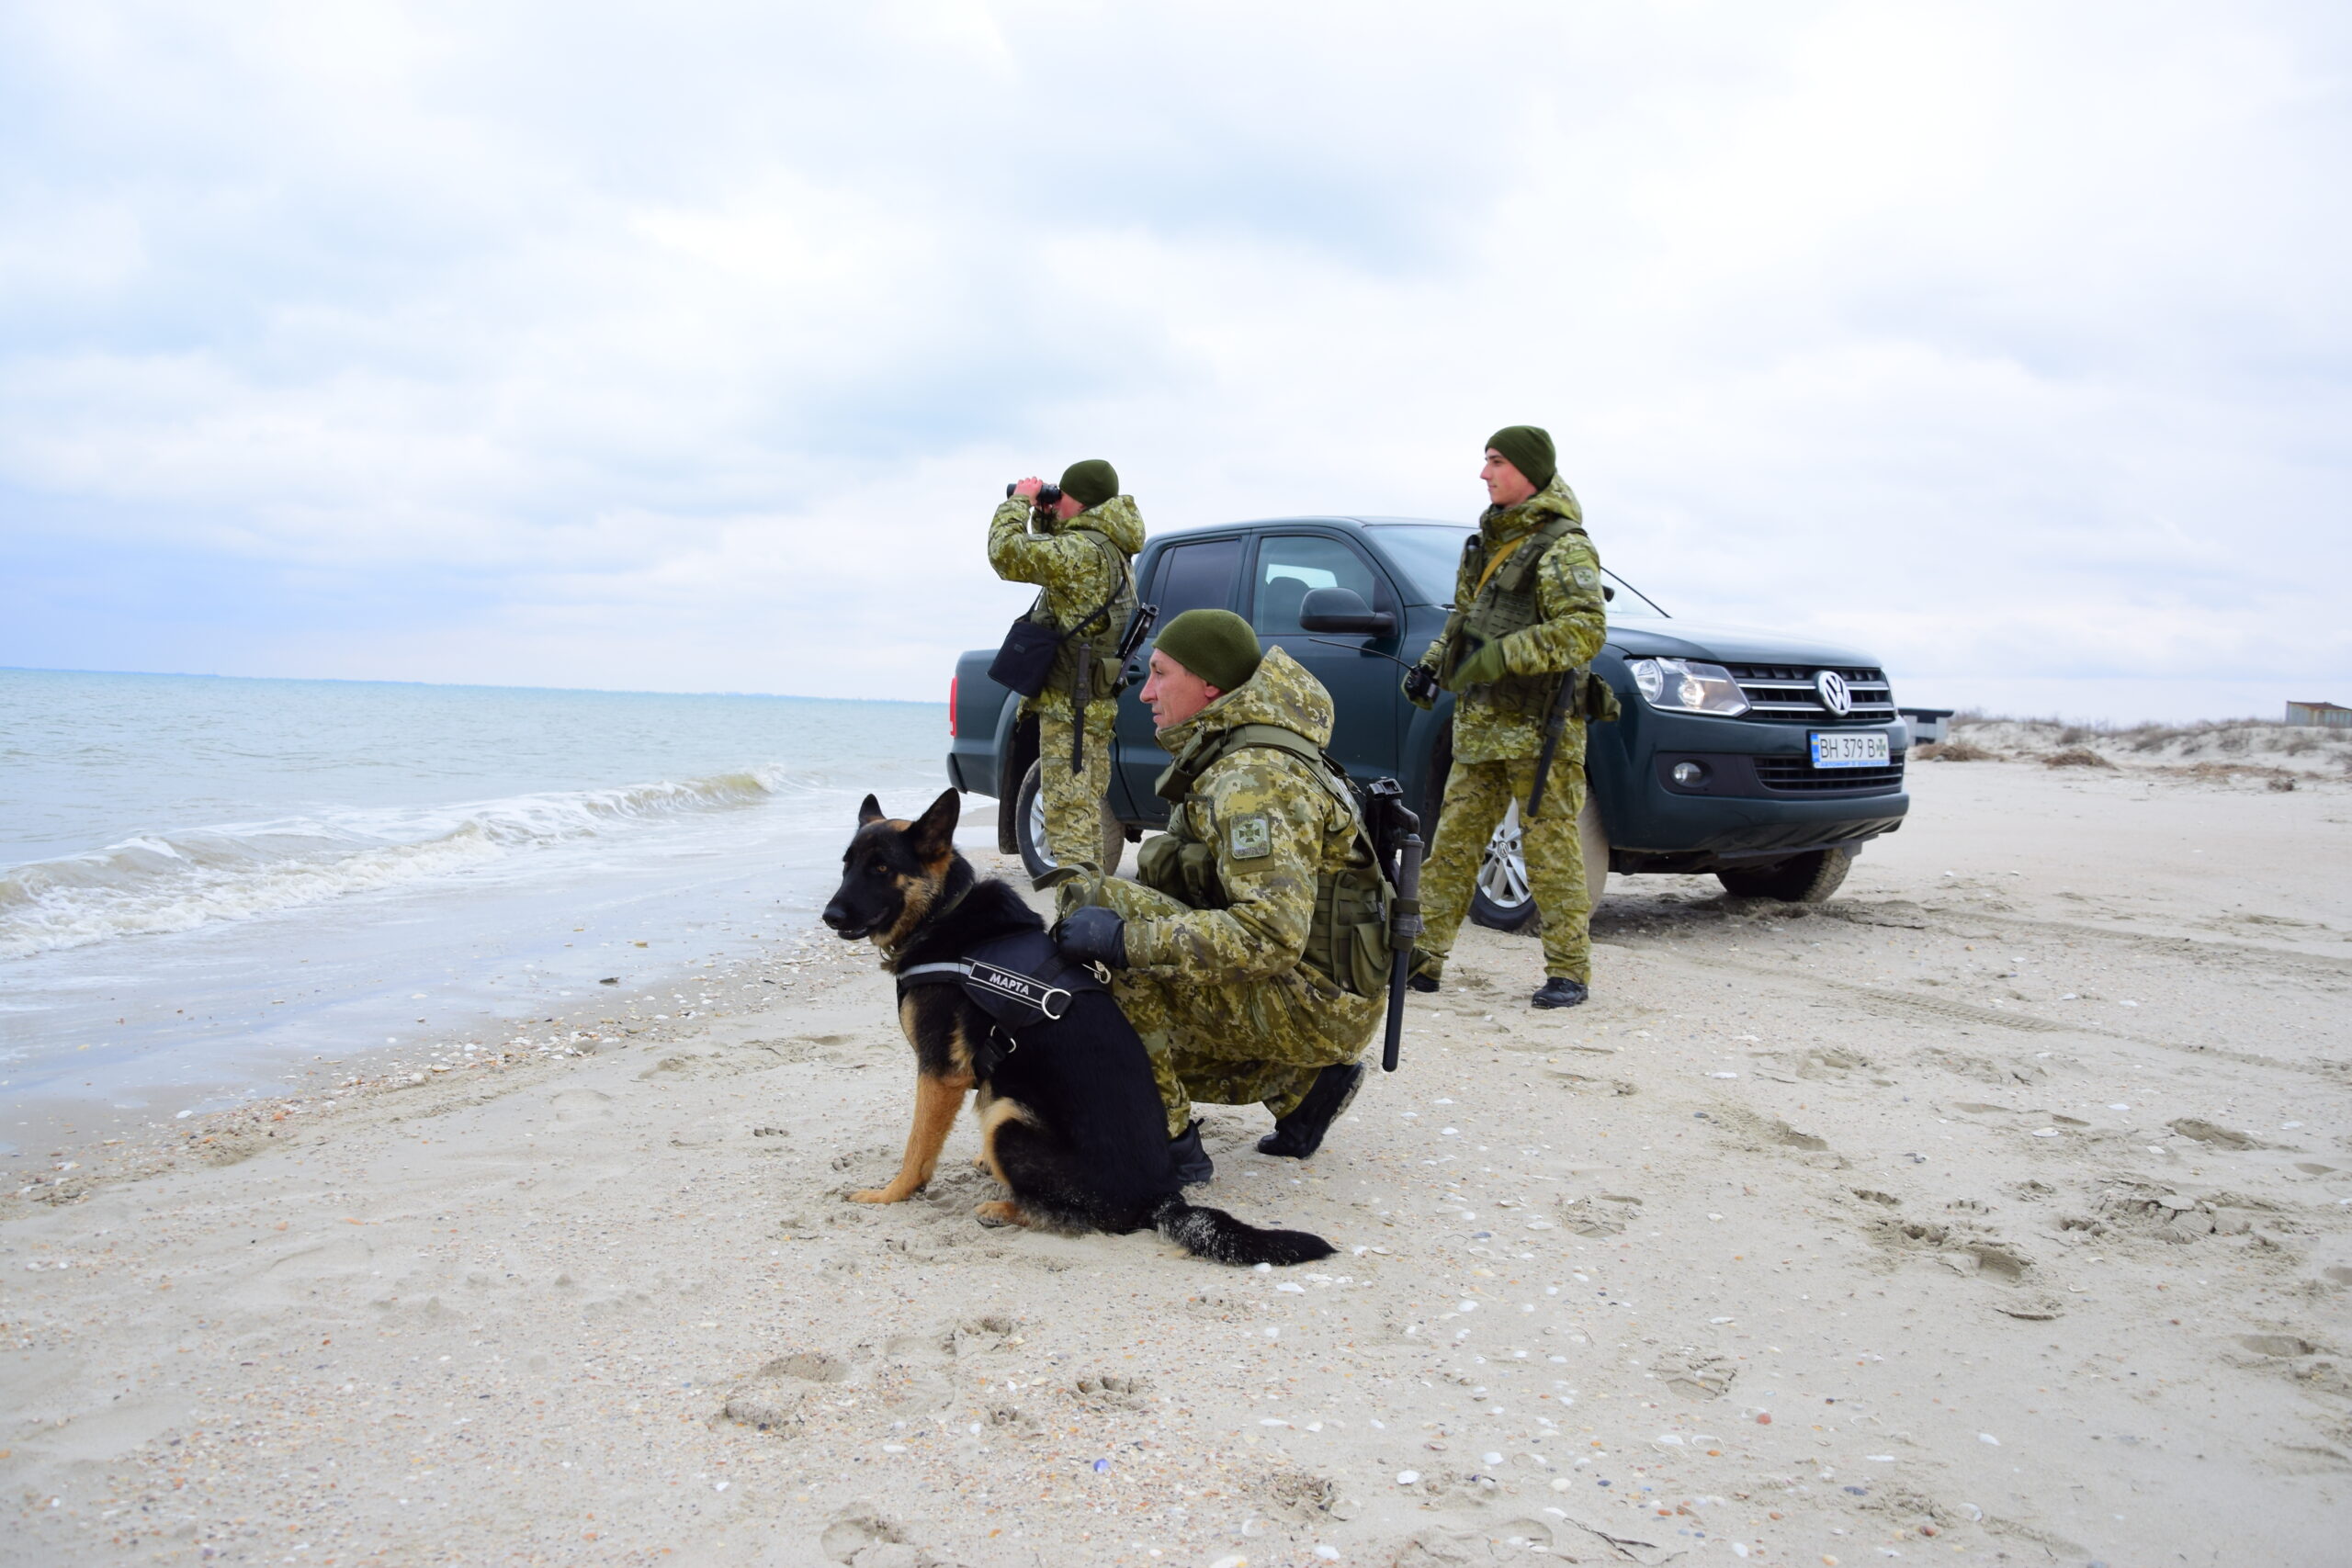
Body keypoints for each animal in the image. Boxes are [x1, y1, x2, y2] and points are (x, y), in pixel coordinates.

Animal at [823, 789, 1345, 1269]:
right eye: (847, 866)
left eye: (881, 868)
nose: (829, 916)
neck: (945, 912)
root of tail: (1159, 1197)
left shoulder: (939, 1073)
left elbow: (917, 1149)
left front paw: (890, 1195)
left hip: (1008, 1118)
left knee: (1070, 1215)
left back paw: (1003, 1207)